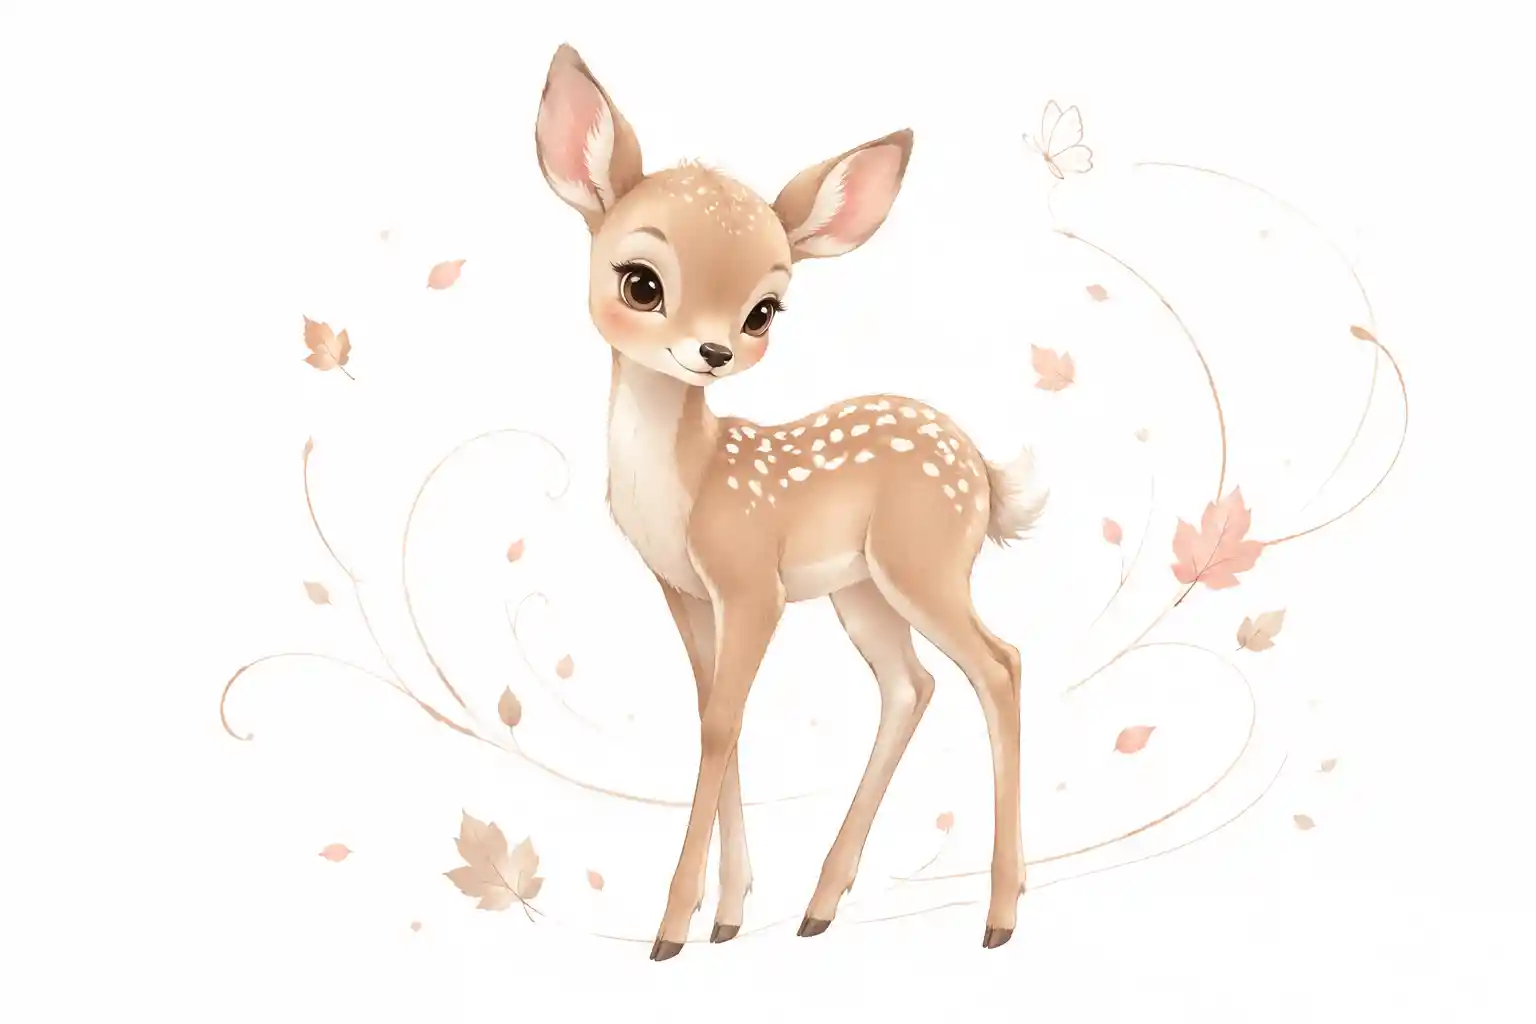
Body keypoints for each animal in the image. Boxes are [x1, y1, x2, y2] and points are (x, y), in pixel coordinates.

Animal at [533, 44, 1048, 961]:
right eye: (640, 283)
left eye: (763, 310)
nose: (712, 351)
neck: (691, 481)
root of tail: (981, 472)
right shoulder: (685, 591)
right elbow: (718, 716)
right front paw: (728, 918)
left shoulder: (751, 584)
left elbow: (719, 724)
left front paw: (671, 931)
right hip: (863, 590)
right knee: (911, 686)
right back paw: (822, 904)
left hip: (923, 563)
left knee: (1000, 664)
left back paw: (998, 916)